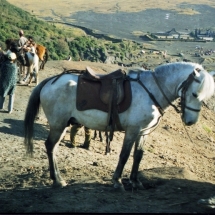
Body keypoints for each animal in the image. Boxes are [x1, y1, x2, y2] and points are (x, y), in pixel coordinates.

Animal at [23, 61, 215, 190]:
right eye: (195, 94)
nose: (190, 122)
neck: (150, 90)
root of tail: (50, 81)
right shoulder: (132, 131)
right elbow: (124, 155)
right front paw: (117, 181)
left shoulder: (143, 132)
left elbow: (138, 155)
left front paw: (135, 181)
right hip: (58, 125)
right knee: (50, 146)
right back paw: (57, 179)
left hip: (62, 125)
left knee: (53, 148)